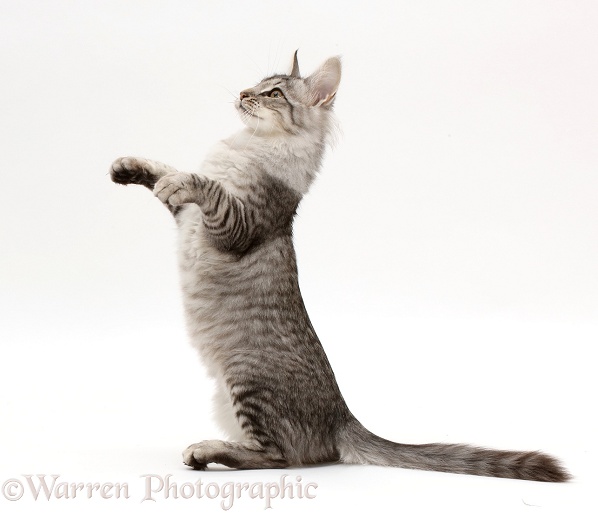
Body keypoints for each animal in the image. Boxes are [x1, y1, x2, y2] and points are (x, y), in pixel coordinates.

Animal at [109, 52, 572, 480]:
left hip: (248, 379)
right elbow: (163, 170)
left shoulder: (239, 222)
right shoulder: (185, 217)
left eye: (273, 94)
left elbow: (202, 183)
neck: (249, 143)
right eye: (256, 84)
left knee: (278, 456)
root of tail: (343, 416)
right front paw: (129, 167)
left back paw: (206, 451)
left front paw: (180, 179)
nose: (242, 94)